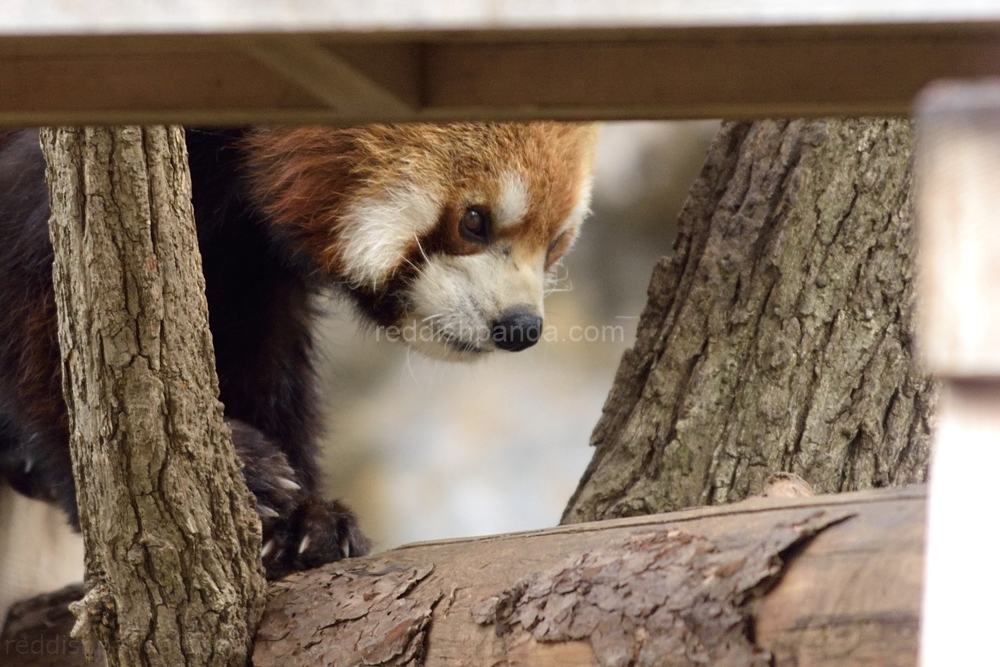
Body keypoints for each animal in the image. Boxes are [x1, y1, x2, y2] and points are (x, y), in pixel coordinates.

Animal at [0, 124, 596, 580]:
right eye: (474, 220)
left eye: (555, 244)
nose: (520, 326)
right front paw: (243, 468)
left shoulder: (251, 255)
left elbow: (260, 355)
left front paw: (302, 522)